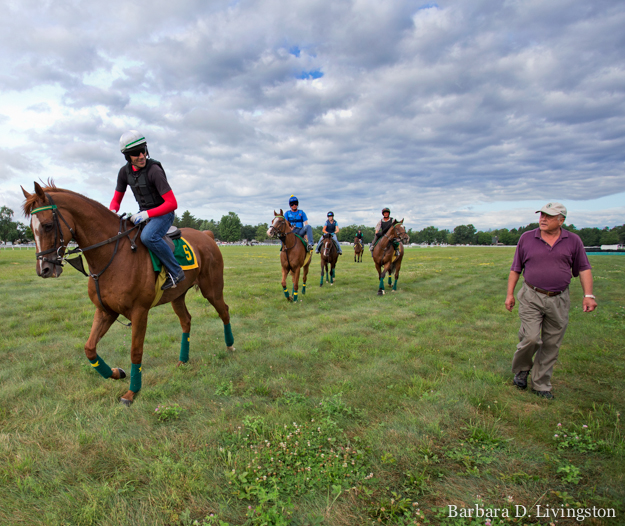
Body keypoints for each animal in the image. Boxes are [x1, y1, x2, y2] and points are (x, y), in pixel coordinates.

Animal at [21, 183, 234, 408]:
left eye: (47, 226)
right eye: (31, 228)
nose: (44, 269)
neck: (113, 255)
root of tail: (207, 235)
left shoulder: (139, 312)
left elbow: (135, 351)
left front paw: (132, 392)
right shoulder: (105, 311)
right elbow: (89, 348)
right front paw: (116, 373)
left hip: (212, 289)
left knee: (224, 311)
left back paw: (230, 346)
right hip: (177, 297)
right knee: (186, 321)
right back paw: (183, 360)